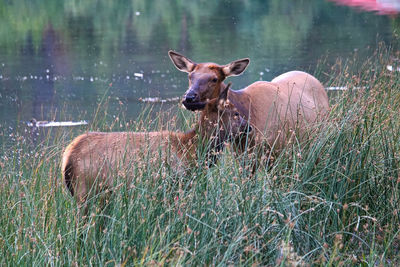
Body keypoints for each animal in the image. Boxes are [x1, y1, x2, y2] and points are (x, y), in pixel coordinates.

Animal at [61, 82, 250, 208]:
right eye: (235, 113)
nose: (249, 127)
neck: (190, 151)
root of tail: (66, 160)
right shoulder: (173, 183)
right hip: (86, 192)